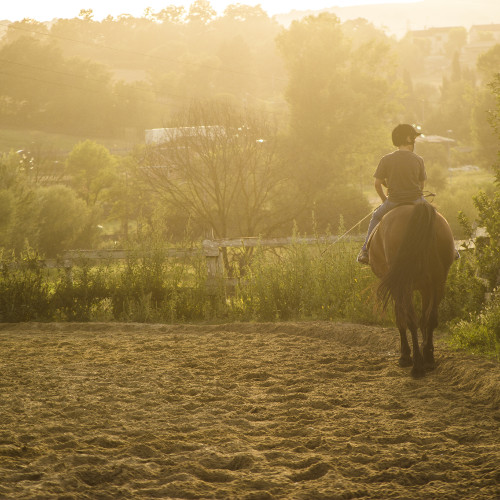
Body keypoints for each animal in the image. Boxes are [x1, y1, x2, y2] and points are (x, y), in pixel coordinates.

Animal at [368, 201, 458, 376]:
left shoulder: (397, 286)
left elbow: (401, 318)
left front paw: (405, 355)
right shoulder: (426, 287)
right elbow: (425, 319)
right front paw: (426, 349)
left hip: (405, 284)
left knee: (411, 319)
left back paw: (417, 364)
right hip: (439, 281)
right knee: (431, 318)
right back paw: (428, 359)